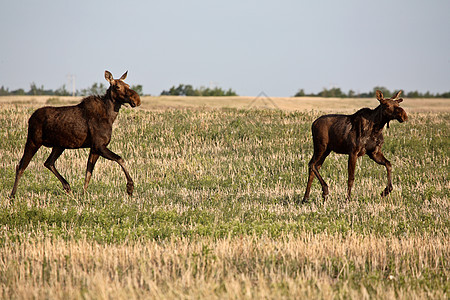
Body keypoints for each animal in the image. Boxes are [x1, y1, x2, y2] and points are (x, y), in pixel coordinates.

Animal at [10, 69, 141, 198]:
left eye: (128, 85)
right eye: (117, 86)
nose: (137, 100)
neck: (110, 117)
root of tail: (29, 119)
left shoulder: (94, 148)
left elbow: (88, 173)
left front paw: (83, 195)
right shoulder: (99, 146)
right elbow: (120, 159)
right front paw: (130, 187)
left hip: (59, 145)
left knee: (48, 162)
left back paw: (67, 186)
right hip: (33, 141)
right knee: (21, 166)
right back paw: (12, 195)